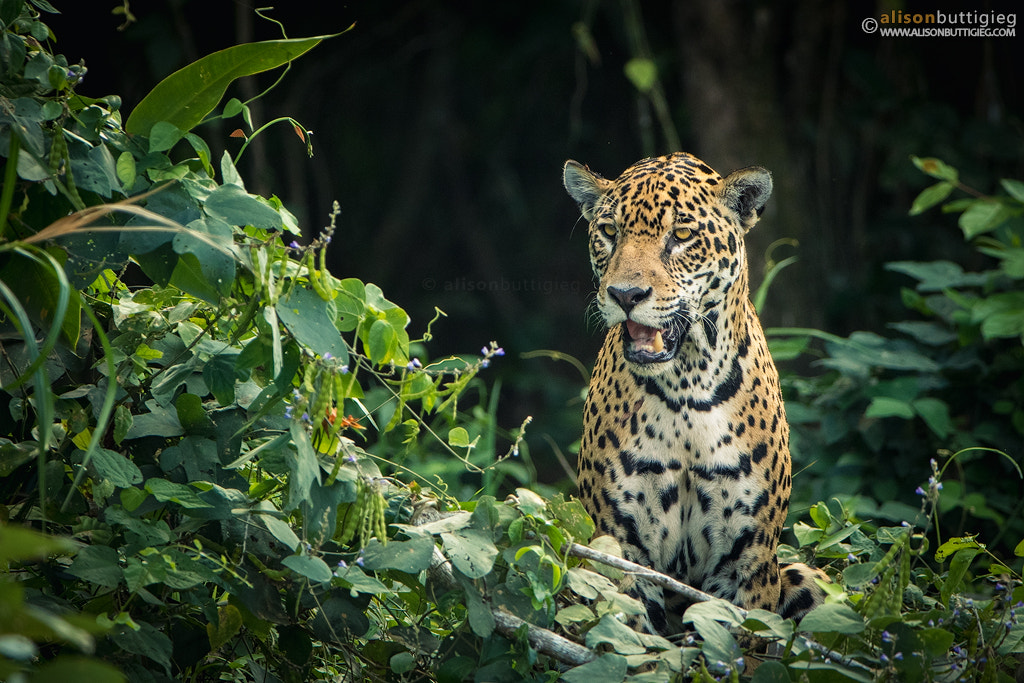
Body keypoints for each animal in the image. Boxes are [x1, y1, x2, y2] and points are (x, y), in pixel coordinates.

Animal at [563, 151, 825, 635]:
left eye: (682, 236)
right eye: (609, 231)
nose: (625, 294)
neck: (685, 386)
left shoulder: (748, 557)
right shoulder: (622, 545)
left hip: (801, 573)